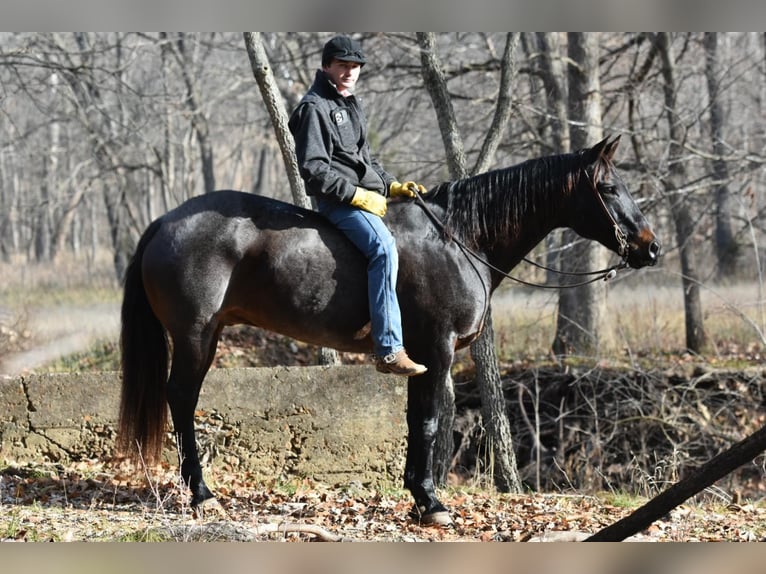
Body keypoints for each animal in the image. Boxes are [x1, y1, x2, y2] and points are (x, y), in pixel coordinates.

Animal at [117, 135, 664, 528]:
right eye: (610, 189)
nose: (650, 247)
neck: (460, 239)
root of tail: (164, 221)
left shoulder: (421, 357)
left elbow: (417, 422)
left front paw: (419, 498)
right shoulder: (438, 351)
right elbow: (429, 422)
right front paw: (432, 503)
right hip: (195, 337)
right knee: (182, 400)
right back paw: (201, 495)